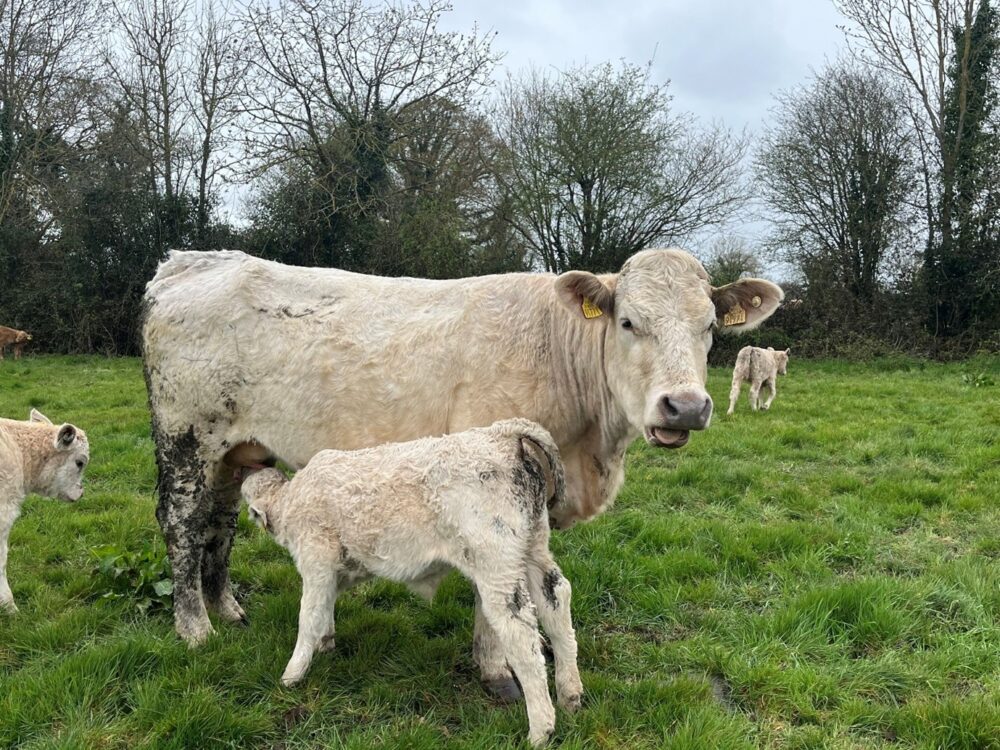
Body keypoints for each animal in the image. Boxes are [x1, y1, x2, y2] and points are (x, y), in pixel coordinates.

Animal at [142, 247, 783, 699]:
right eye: (628, 322)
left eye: (709, 327)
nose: (685, 407)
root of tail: (188, 261)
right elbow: (497, 597)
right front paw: (497, 670)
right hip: (186, 438)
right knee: (181, 524)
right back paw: (195, 628)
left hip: (235, 449)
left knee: (221, 524)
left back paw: (227, 608)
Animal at [241, 418, 582, 746]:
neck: (291, 501)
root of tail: (501, 432)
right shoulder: (335, 570)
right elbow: (325, 608)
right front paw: (325, 643)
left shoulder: (317, 562)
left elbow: (309, 615)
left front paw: (291, 675)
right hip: (533, 548)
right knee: (556, 601)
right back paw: (570, 695)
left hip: (497, 564)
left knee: (520, 632)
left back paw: (540, 730)